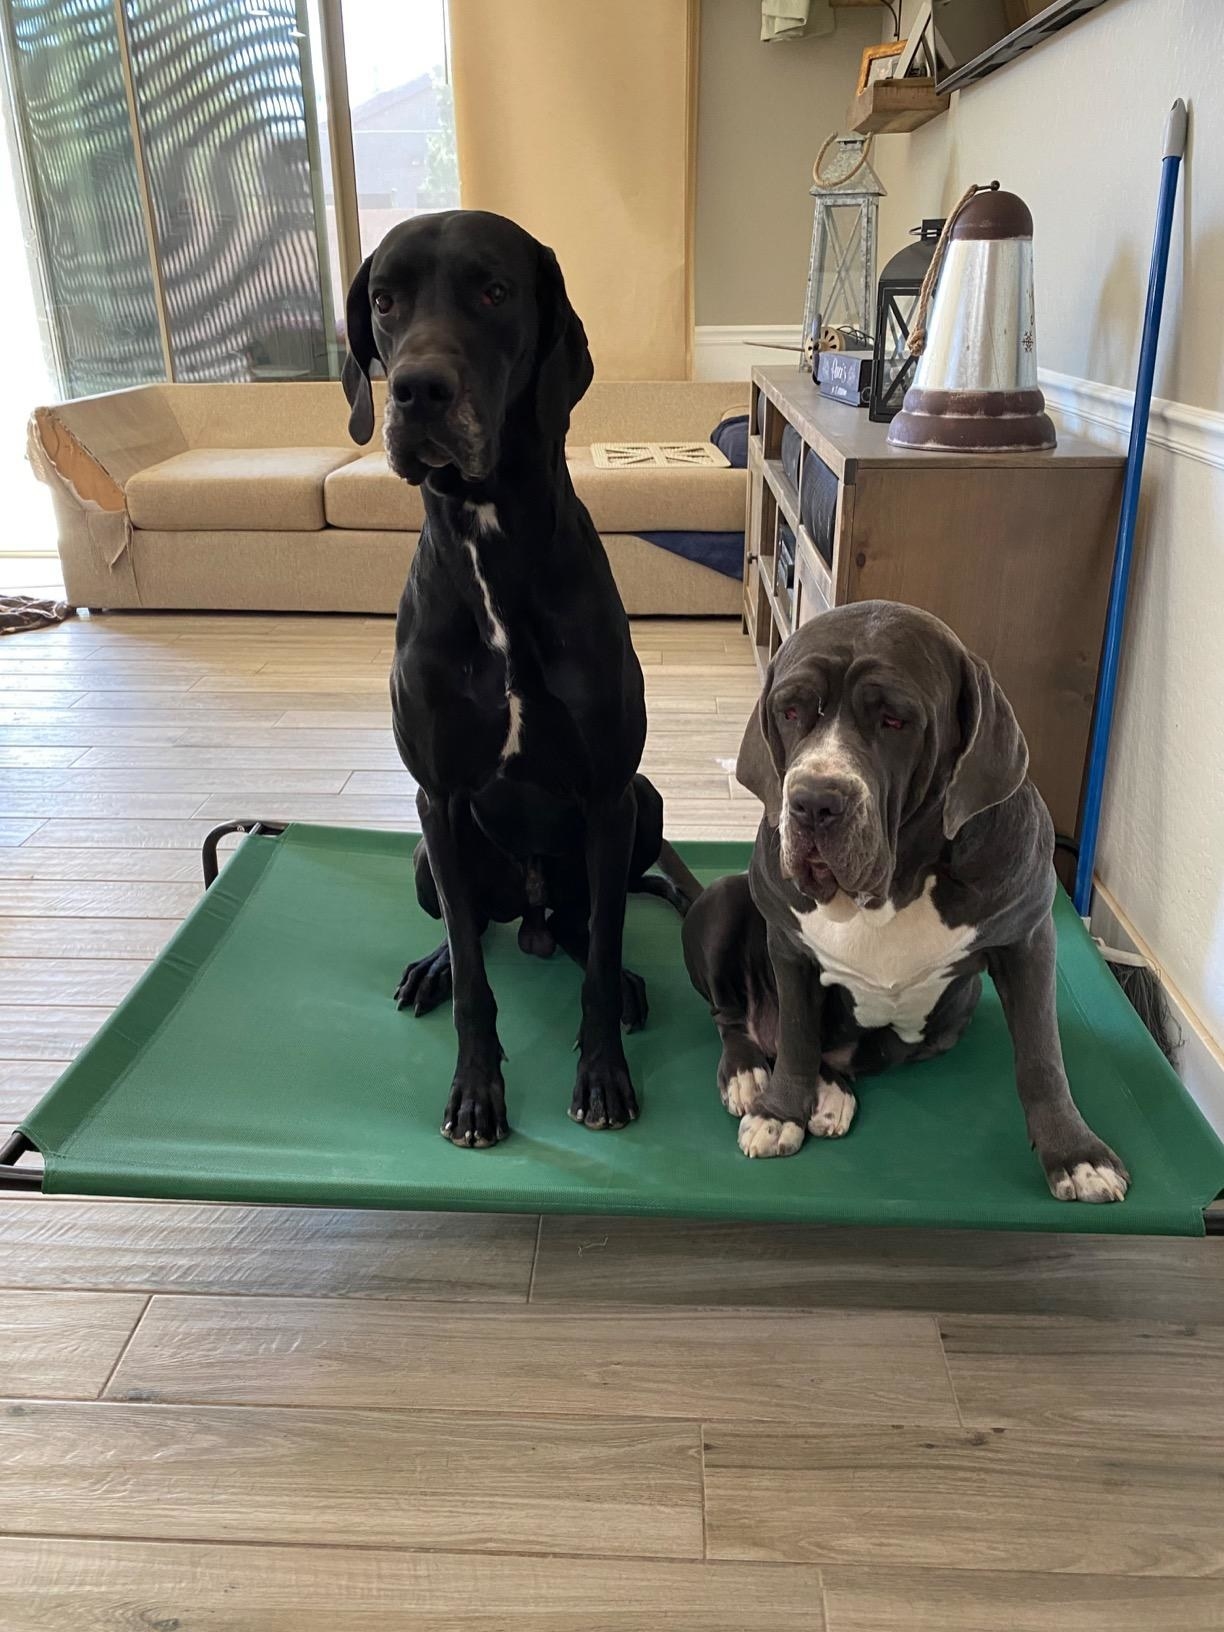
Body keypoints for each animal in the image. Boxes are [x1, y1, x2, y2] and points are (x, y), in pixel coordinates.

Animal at [341, 207, 695, 1148]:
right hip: (428, 854)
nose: (416, 391)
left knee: (583, 928)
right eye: (384, 300)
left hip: (644, 806)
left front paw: (603, 1075)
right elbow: (475, 973)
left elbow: (602, 956)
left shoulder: (609, 794)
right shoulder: (437, 796)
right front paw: (475, 1090)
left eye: (495, 291)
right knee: (476, 930)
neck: (491, 538)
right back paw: (432, 968)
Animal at [682, 600, 1129, 1201]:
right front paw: (780, 1114)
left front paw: (1076, 1154)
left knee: (829, 1055)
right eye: (791, 711)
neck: (891, 888)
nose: (813, 801)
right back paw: (750, 1075)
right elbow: (797, 1035)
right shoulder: (789, 947)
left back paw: (831, 1092)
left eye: (895, 720)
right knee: (734, 1019)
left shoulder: (1029, 939)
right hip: (725, 900)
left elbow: (1042, 1055)